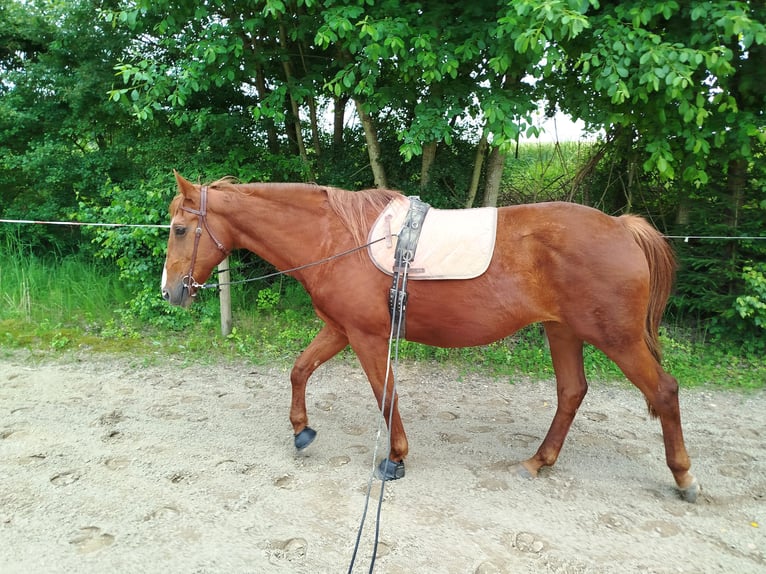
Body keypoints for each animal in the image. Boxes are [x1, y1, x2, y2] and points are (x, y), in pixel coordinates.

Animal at [162, 171, 704, 504]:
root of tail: (623, 227)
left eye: (180, 229)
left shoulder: (366, 336)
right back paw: (538, 461)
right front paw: (301, 430)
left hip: (617, 338)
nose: (171, 291)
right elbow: (299, 369)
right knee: (572, 392)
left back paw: (684, 476)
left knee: (664, 391)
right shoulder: (339, 330)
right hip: (563, 332)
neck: (337, 238)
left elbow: (385, 394)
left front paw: (396, 458)